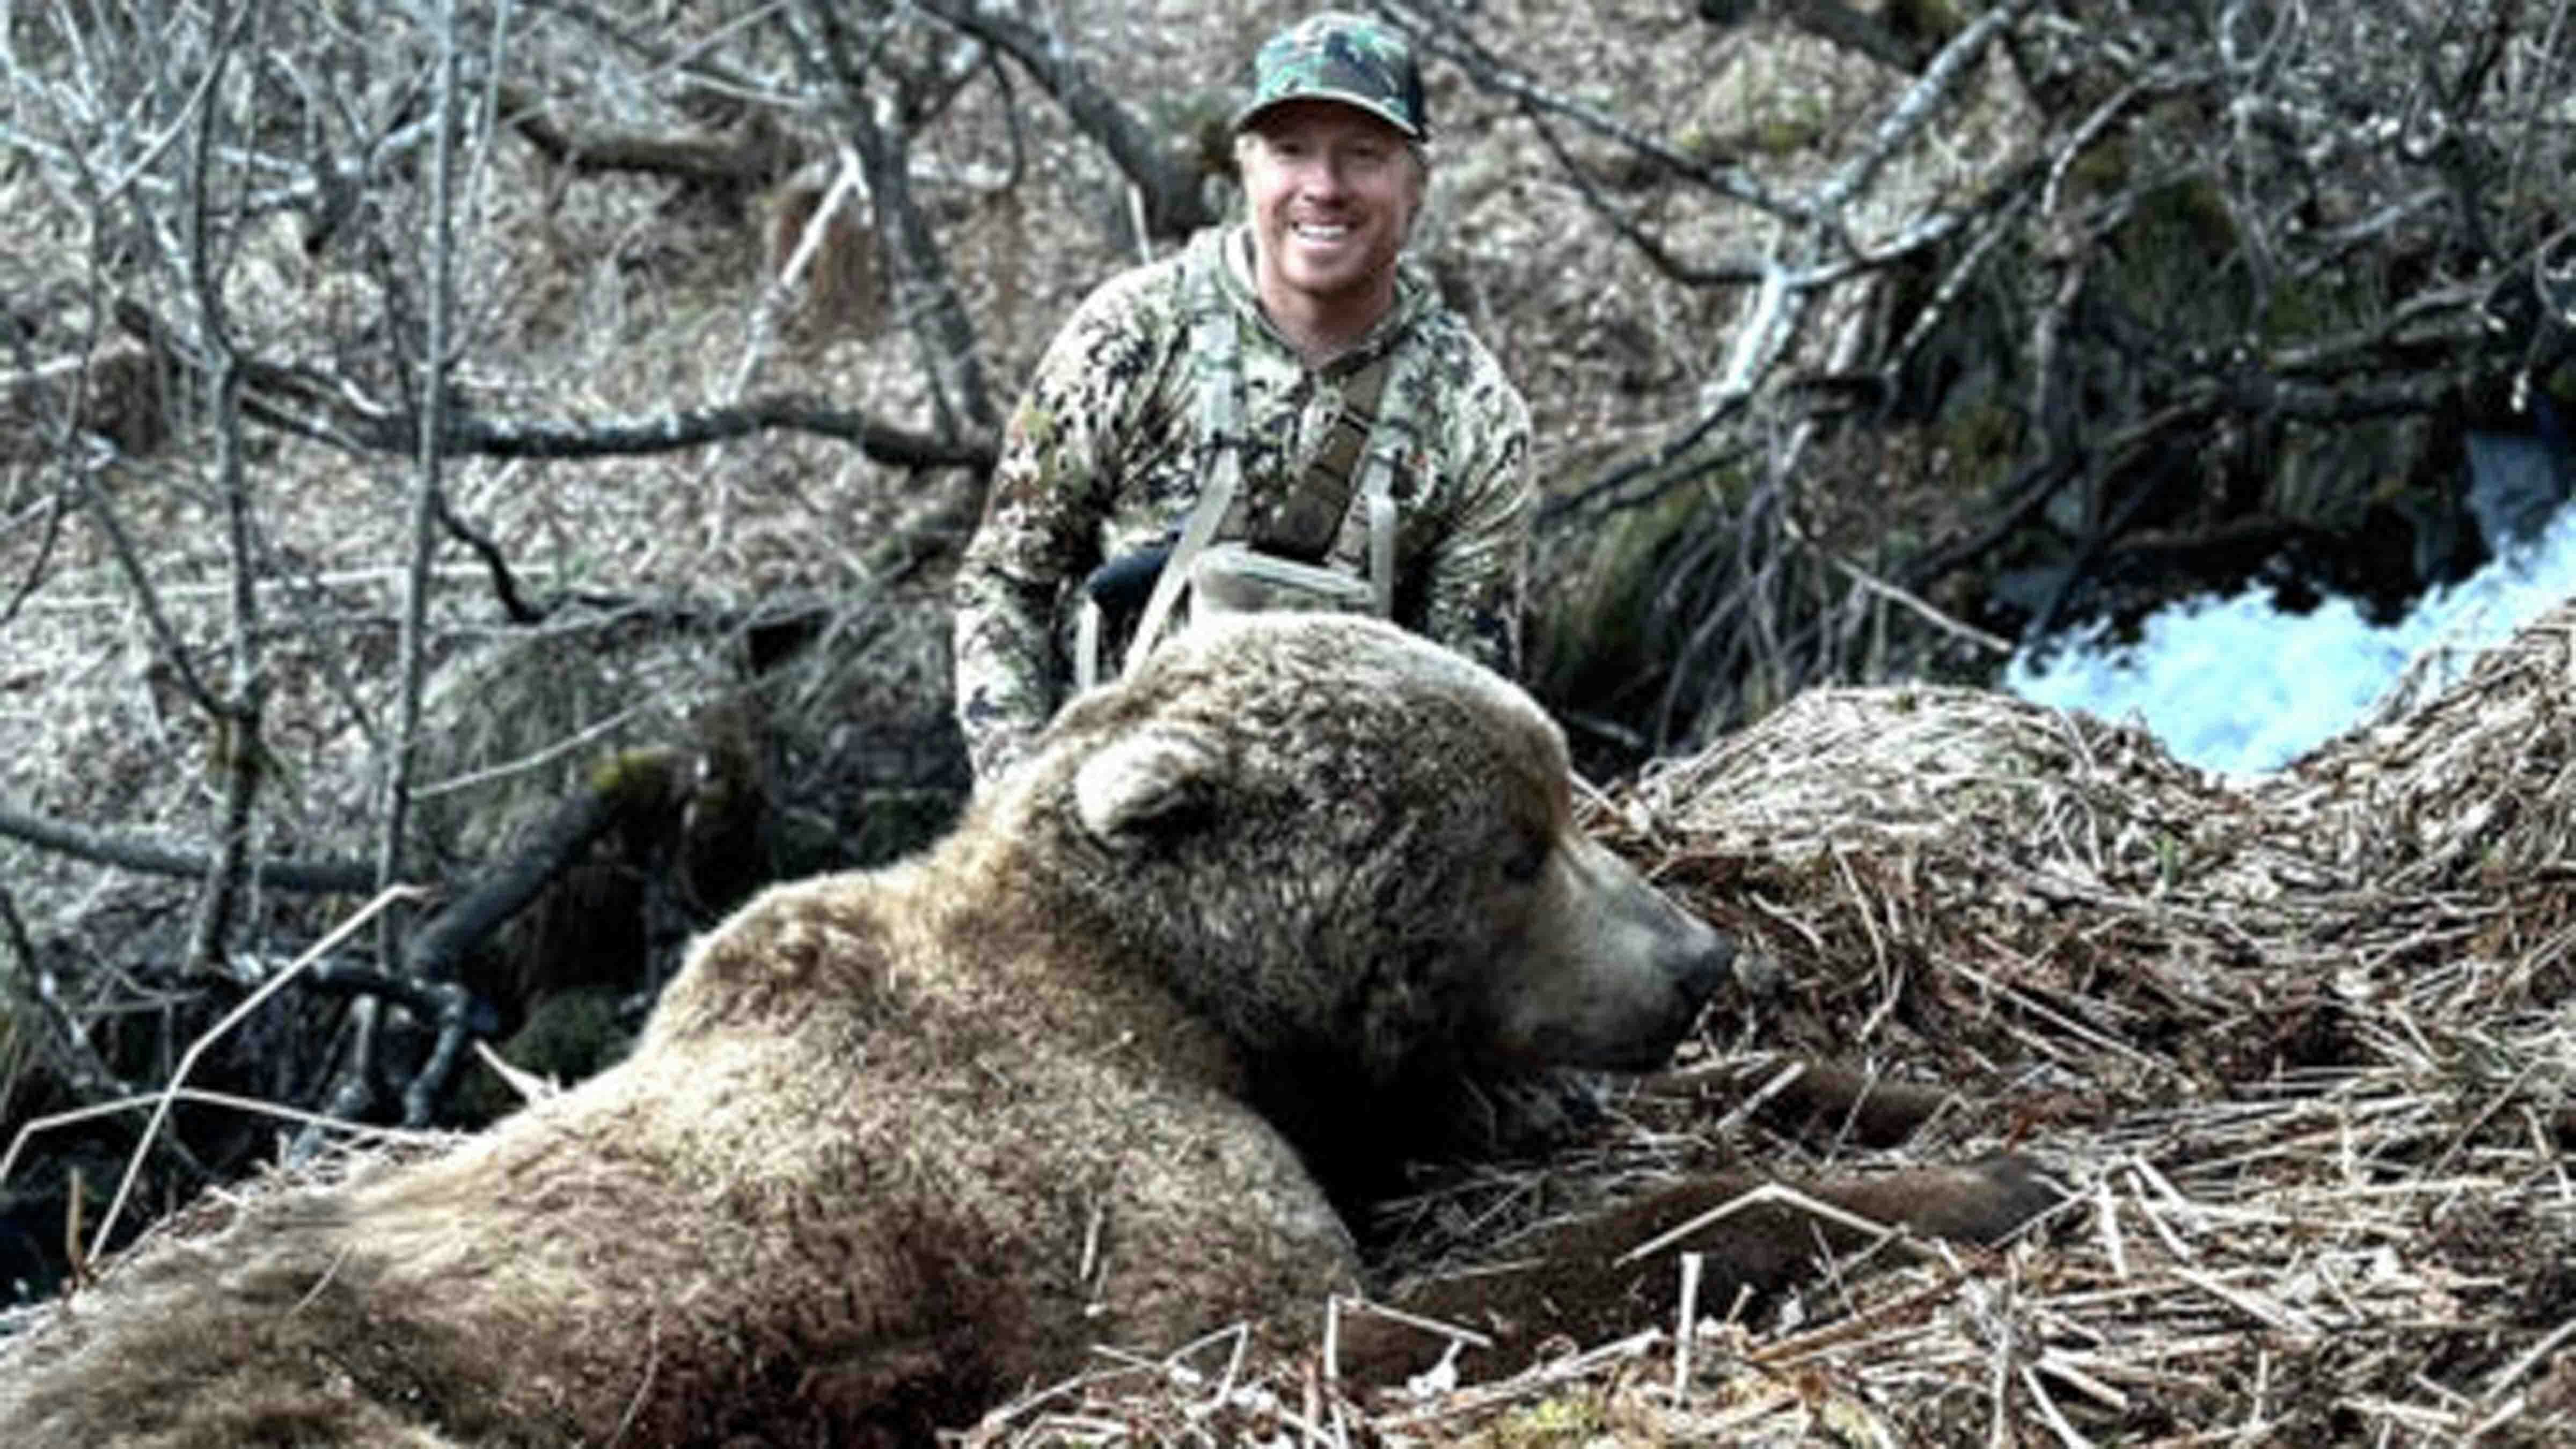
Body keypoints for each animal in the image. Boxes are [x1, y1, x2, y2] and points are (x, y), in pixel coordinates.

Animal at [0, 606, 2050, 1433]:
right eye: (1517, 845)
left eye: (1567, 793)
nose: (1698, 962)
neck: (1167, 989)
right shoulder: (1105, 1208)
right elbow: (1317, 1333)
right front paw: (1971, 1190)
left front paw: (1872, 1089)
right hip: (305, 1379)